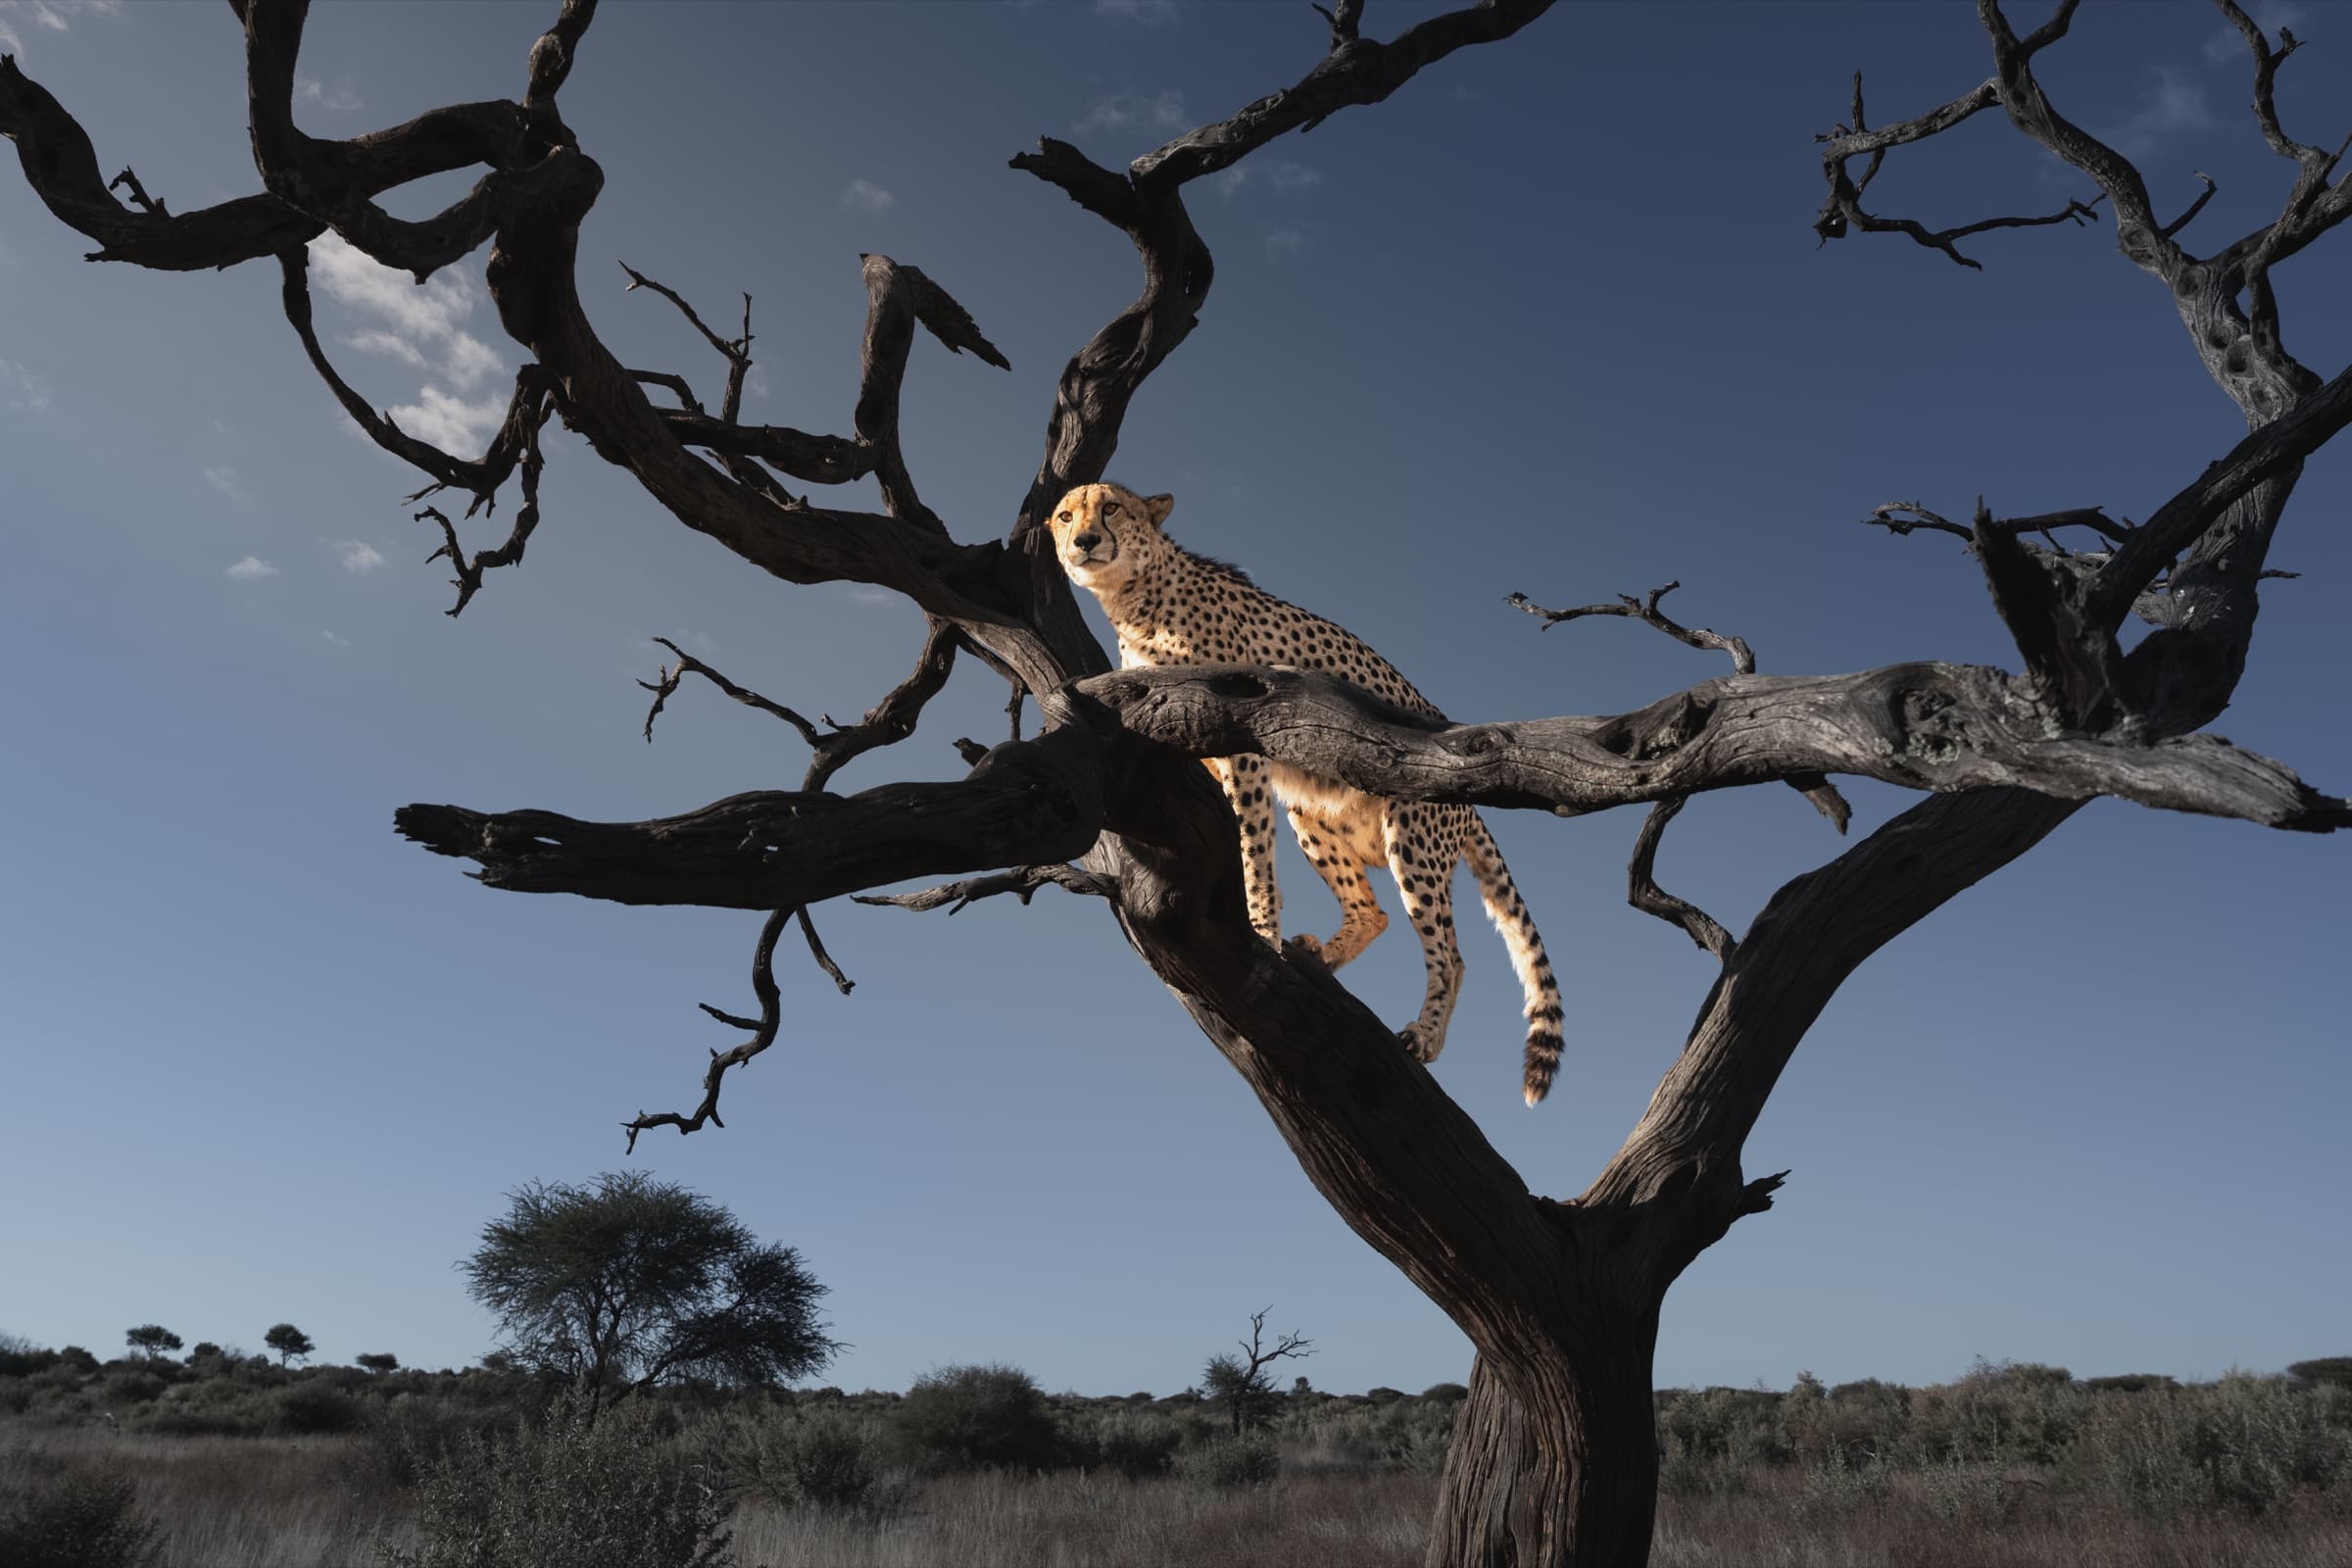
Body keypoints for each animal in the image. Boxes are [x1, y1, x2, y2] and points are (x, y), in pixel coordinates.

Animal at [1047, 481, 1567, 1105]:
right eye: (1065, 516)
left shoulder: (1244, 744)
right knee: (1372, 912)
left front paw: (1259, 931)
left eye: (1111, 509)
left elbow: (1251, 851)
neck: (1135, 599)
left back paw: (1424, 1035)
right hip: (1313, 817)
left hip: (1411, 837)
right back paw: (1329, 953)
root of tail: (1469, 805)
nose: (1084, 541)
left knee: (1450, 953)